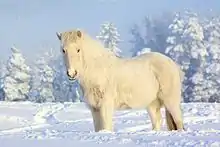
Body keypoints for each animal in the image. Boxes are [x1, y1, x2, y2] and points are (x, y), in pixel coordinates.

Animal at [55, 29, 185, 132]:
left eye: (78, 50)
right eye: (63, 50)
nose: (71, 73)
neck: (98, 70)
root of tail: (173, 64)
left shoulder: (106, 105)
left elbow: (106, 127)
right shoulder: (95, 108)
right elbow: (99, 129)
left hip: (171, 101)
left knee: (178, 121)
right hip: (152, 104)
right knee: (157, 121)